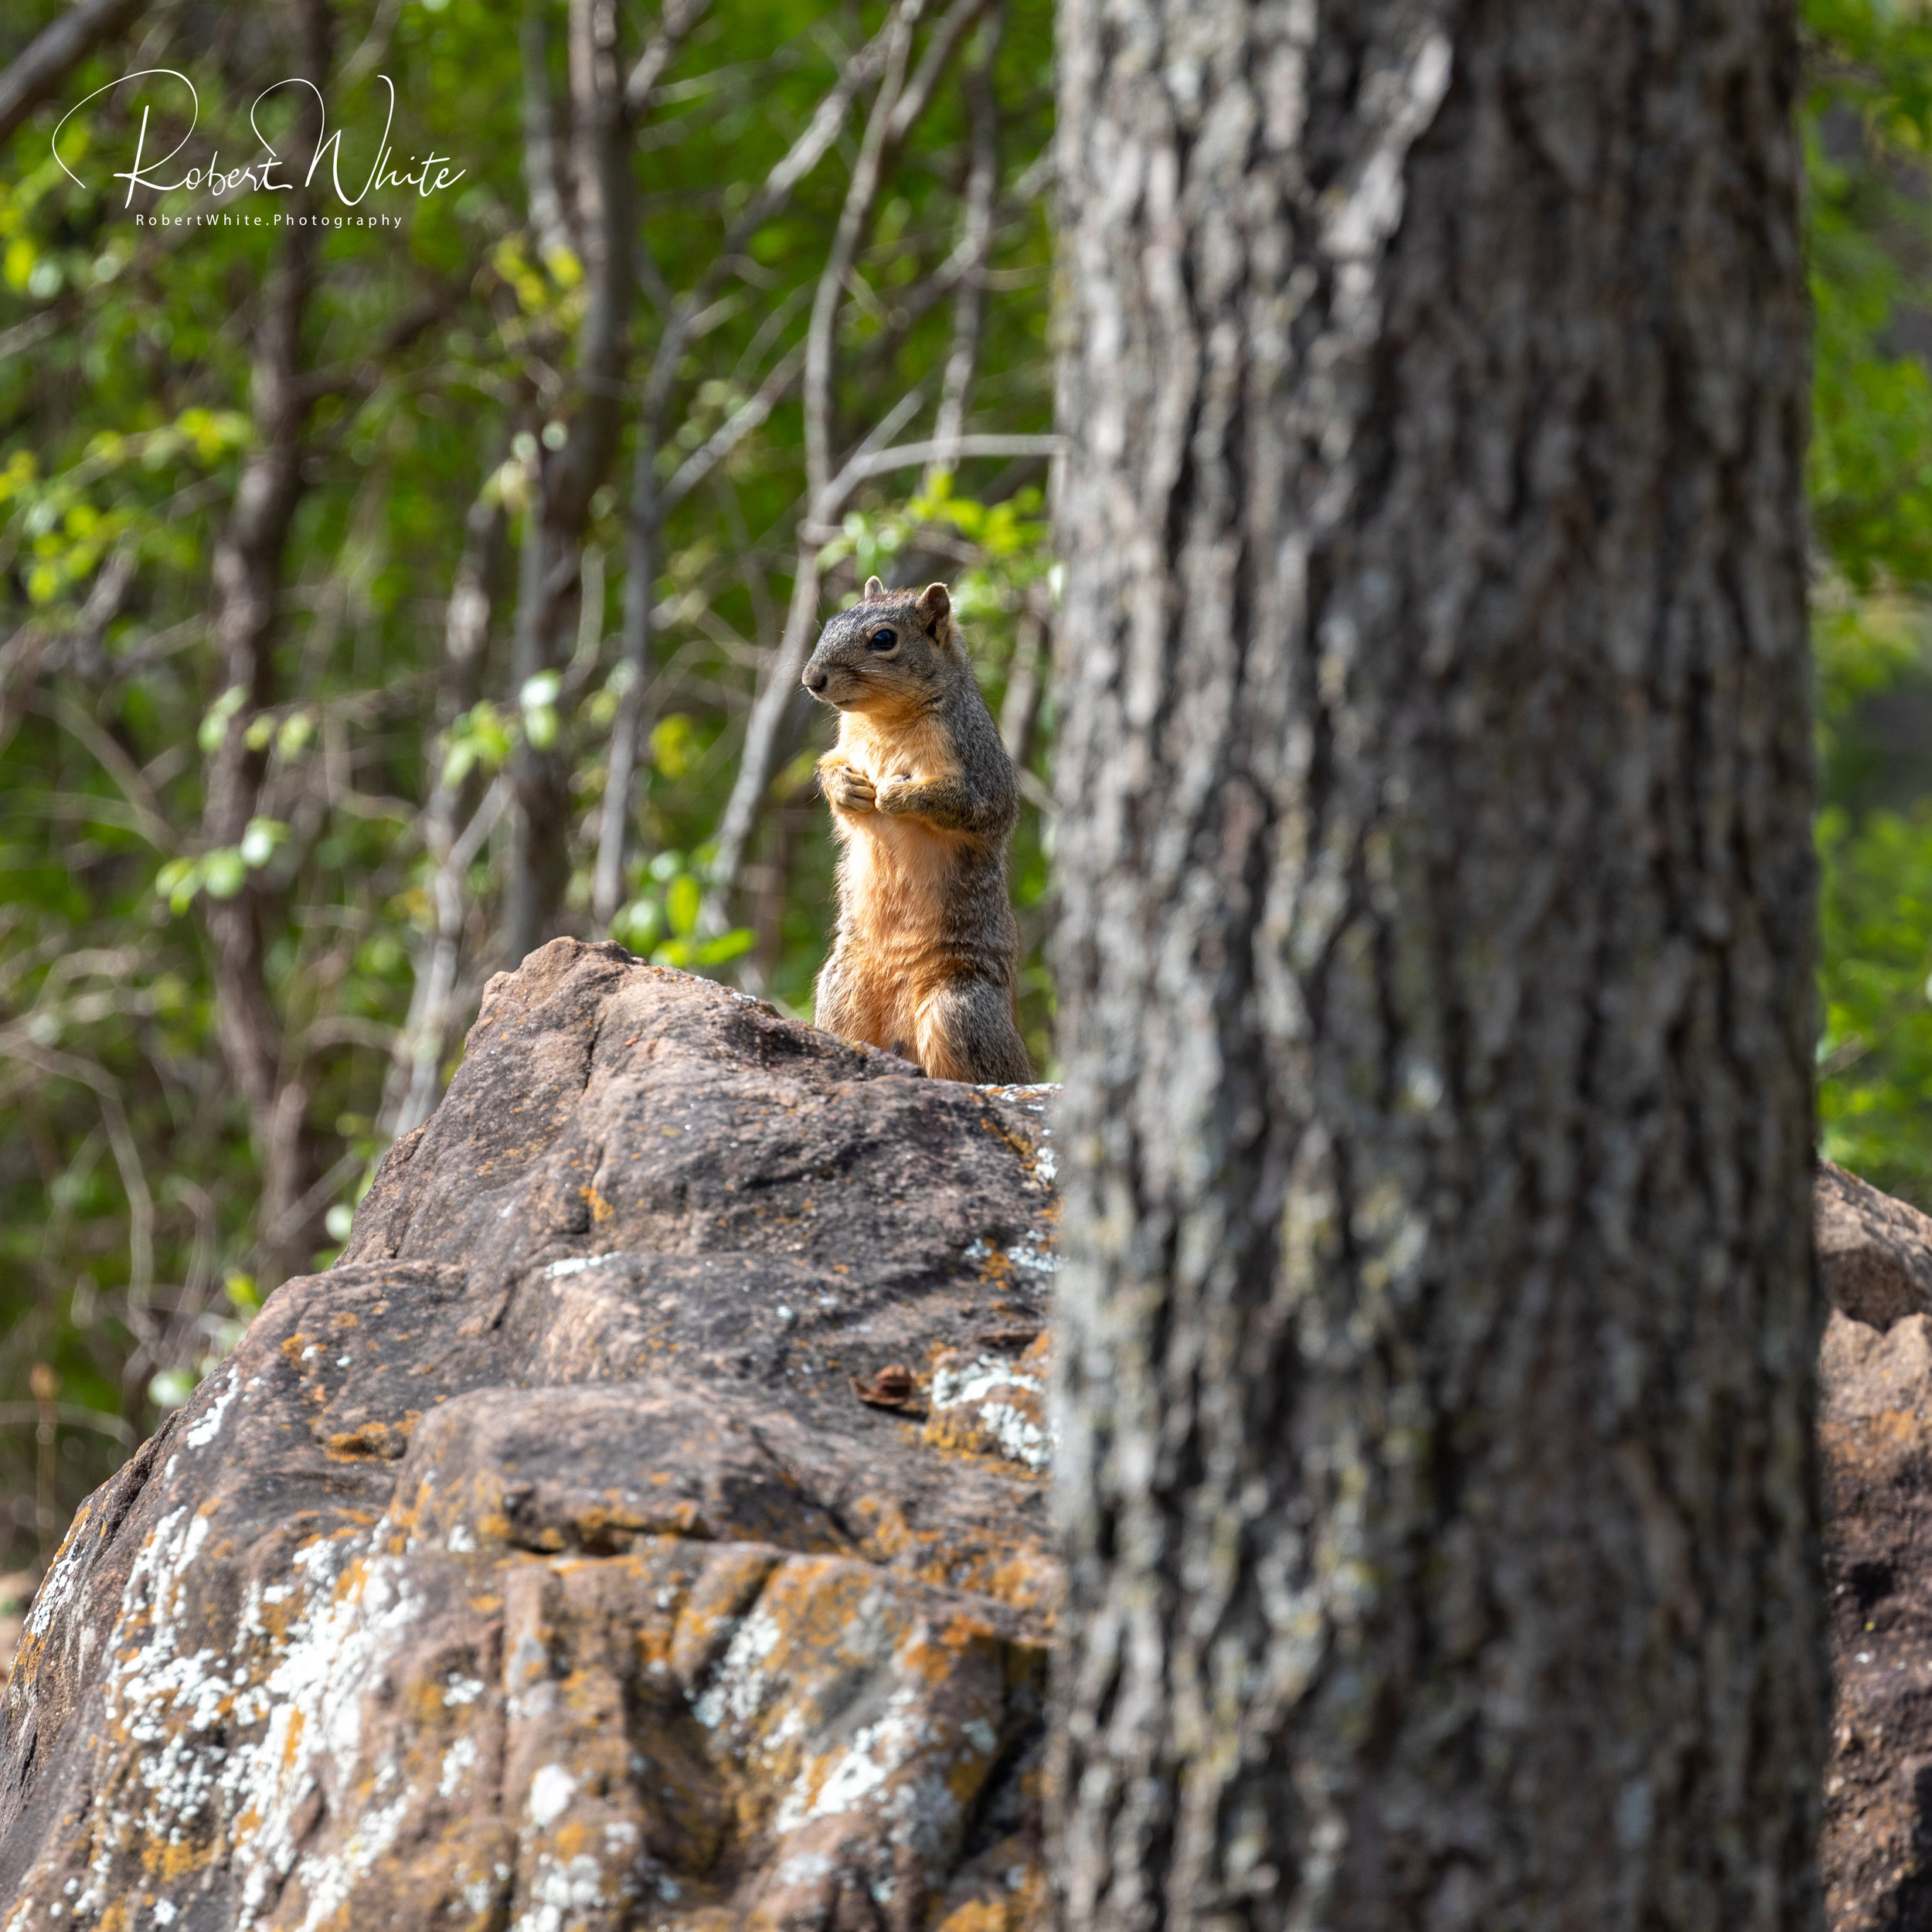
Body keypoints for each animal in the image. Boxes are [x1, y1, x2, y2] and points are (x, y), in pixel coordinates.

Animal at [804, 572, 1043, 1090]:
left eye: (884, 640)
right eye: (831, 622)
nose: (812, 680)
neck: (883, 719)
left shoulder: (979, 765)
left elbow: (975, 806)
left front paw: (897, 796)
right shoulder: (844, 745)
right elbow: (832, 772)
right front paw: (845, 787)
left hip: (961, 1009)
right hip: (840, 992)